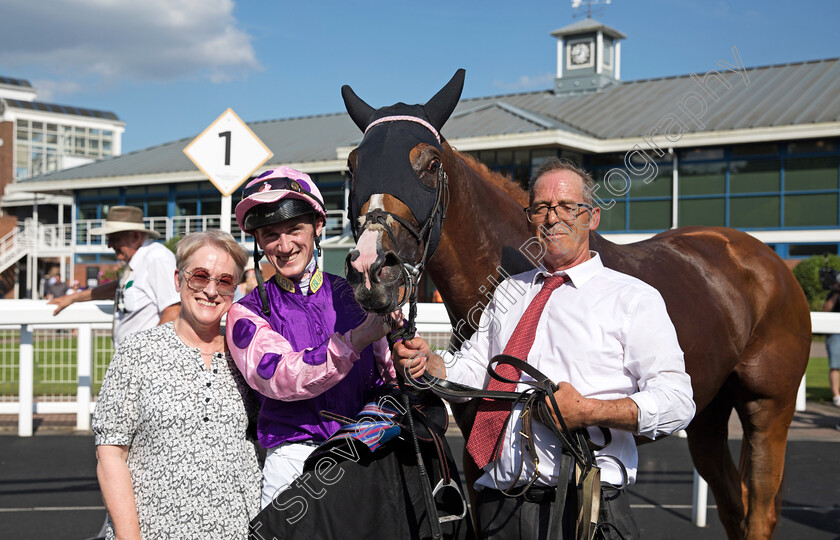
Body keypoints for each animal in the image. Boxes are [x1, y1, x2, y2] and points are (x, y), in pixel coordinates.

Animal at [338, 69, 812, 536]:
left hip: (768, 408)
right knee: (733, 503)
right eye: (352, 167)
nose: (371, 268)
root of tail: (767, 260)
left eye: (431, 164)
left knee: (759, 508)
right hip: (709, 412)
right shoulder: (476, 458)